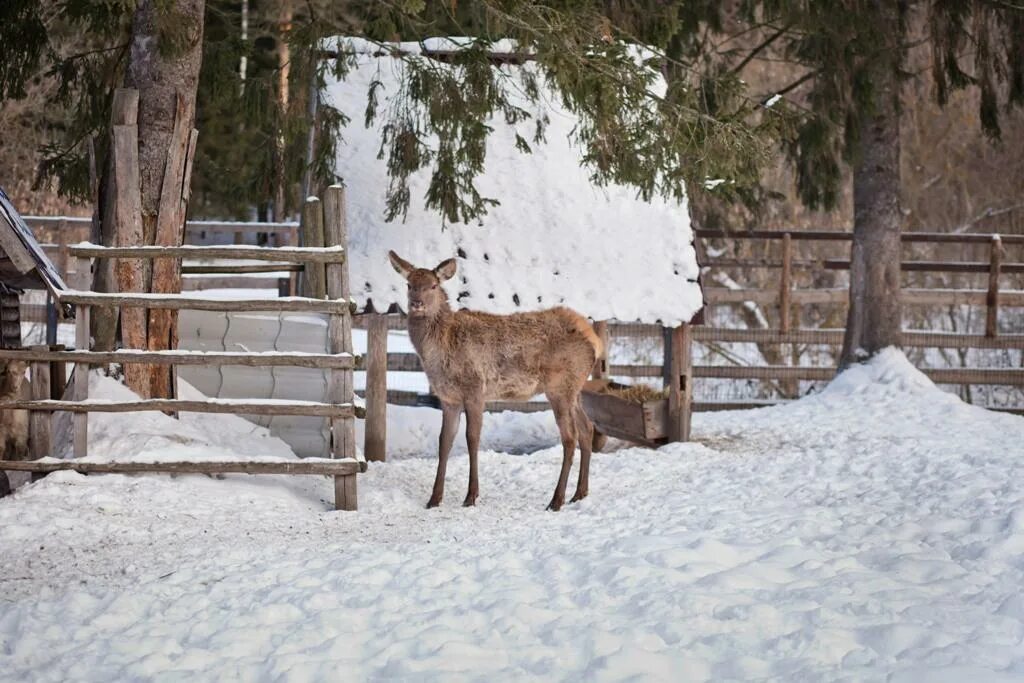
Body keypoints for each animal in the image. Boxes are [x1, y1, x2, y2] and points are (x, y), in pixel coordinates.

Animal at [387, 253, 602, 509]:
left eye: (433, 285)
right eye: (409, 284)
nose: (417, 303)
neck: (440, 352)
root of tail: (595, 341)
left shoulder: (475, 390)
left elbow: (472, 439)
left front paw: (471, 495)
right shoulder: (449, 399)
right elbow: (444, 441)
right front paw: (434, 498)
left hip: (559, 387)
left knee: (570, 437)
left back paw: (556, 500)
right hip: (574, 389)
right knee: (587, 428)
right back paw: (580, 493)